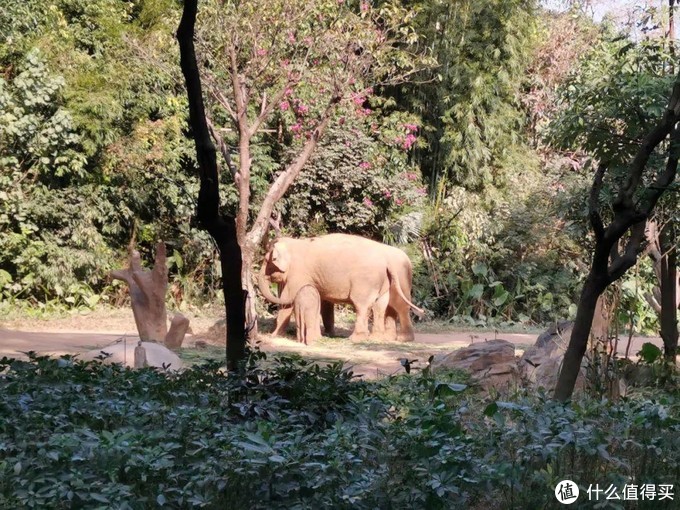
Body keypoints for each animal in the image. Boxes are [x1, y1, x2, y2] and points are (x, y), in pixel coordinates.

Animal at [258, 233, 422, 340]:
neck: (294, 243)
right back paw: (380, 338)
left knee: (365, 305)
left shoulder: (298, 273)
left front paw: (274, 336)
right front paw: (329, 334)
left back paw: (358, 338)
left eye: (266, 261)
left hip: (367, 281)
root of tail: (386, 260)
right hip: (385, 281)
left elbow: (287, 301)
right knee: (381, 306)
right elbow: (325, 303)